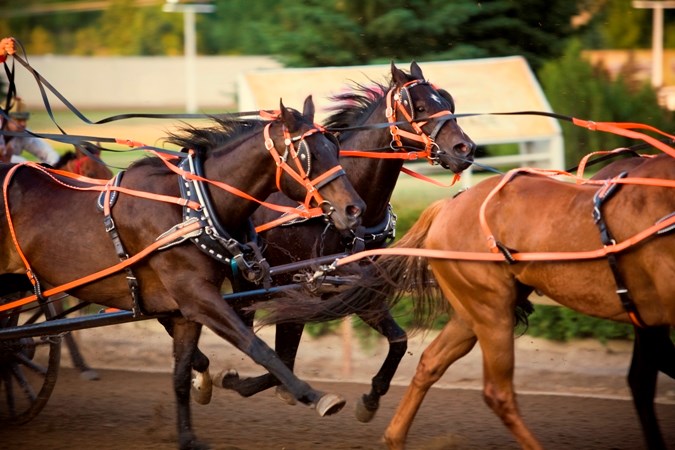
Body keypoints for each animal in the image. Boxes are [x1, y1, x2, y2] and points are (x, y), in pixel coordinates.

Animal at [0, 98, 368, 450]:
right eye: (310, 155)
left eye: (334, 147)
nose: (354, 209)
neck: (192, 209)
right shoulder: (196, 295)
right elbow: (257, 346)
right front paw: (315, 396)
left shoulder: (185, 309)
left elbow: (179, 374)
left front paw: (189, 432)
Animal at [187, 61, 478, 420]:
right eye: (420, 106)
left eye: (447, 102)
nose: (464, 149)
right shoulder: (296, 287)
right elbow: (282, 358)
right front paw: (236, 380)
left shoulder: (355, 287)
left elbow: (398, 340)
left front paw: (370, 399)